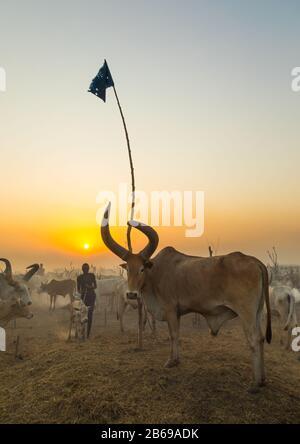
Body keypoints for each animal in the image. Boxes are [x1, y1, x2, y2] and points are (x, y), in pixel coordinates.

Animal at [100, 203, 272, 390]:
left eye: (142, 269)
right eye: (128, 269)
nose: (131, 294)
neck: (155, 273)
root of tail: (256, 262)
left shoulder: (170, 309)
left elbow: (173, 335)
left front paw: (171, 361)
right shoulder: (177, 312)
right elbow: (176, 334)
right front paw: (176, 360)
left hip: (246, 313)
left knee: (254, 340)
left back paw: (255, 384)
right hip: (257, 312)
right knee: (261, 338)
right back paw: (263, 379)